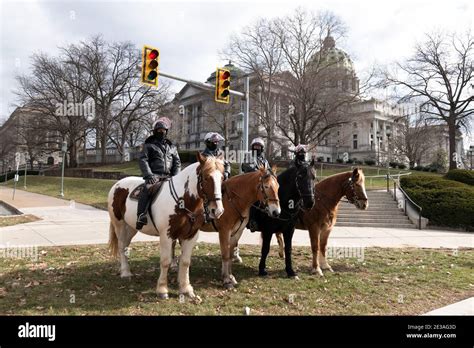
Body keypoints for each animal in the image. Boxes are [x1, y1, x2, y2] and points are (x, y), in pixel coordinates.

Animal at [108, 153, 225, 300]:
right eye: (206, 177)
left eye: (222, 177)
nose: (217, 210)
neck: (182, 200)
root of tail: (117, 184)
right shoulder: (166, 235)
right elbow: (165, 261)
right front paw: (162, 289)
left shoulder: (191, 235)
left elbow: (185, 261)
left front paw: (186, 289)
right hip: (119, 224)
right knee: (122, 245)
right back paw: (125, 272)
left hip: (132, 227)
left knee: (125, 245)